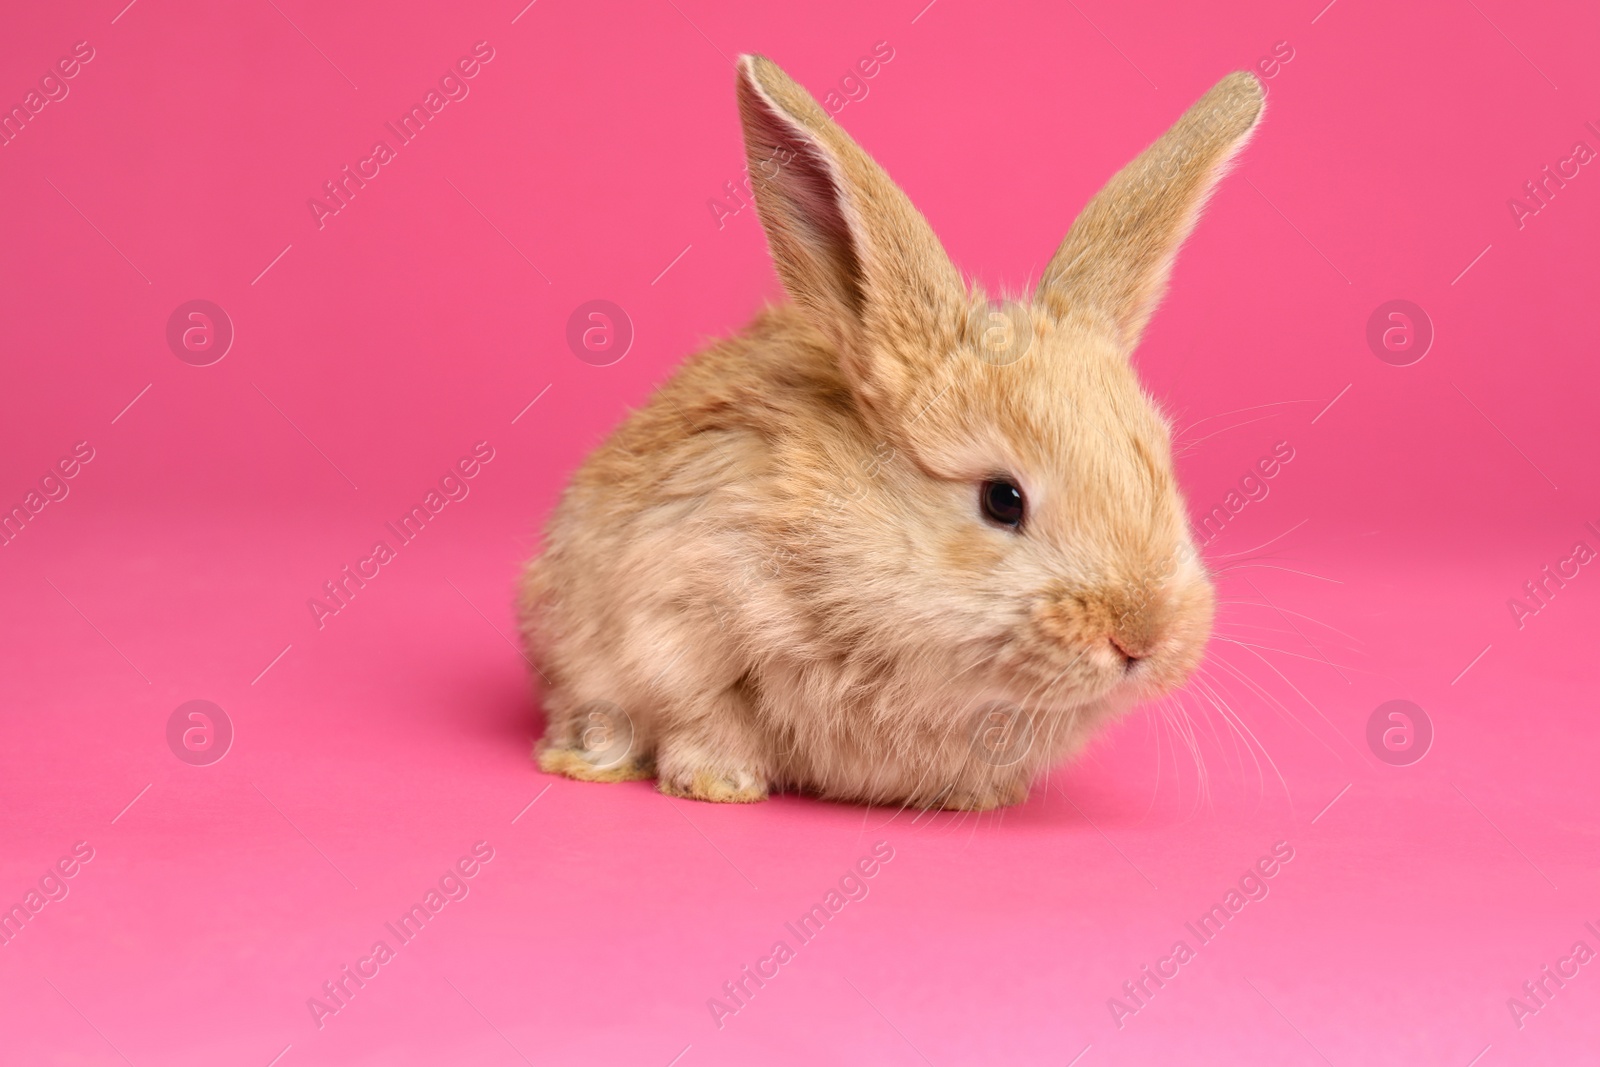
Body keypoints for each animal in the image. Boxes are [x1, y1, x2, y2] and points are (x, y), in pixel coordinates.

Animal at [518, 56, 1267, 809]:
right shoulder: (676, 610)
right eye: (1002, 499)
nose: (1143, 637)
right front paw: (717, 783)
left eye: (1162, 475)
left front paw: (981, 798)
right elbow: (703, 712)